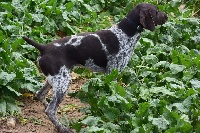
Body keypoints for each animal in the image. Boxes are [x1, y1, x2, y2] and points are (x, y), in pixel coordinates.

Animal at [22, 2, 168, 132]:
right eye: (156, 11)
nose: (167, 16)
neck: (125, 33)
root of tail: (43, 48)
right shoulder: (112, 73)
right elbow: (114, 95)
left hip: (54, 80)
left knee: (40, 95)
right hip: (63, 82)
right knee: (50, 110)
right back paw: (62, 128)